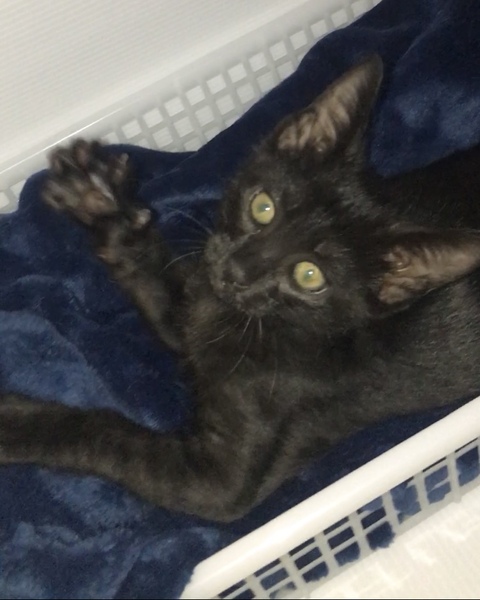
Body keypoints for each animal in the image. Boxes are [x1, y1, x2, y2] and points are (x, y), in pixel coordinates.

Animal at [2, 53, 480, 522]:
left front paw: (12, 422)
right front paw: (99, 200)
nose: (236, 271)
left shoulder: (219, 482)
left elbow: (109, 436)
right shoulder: (197, 298)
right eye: (262, 207)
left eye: (310, 276)